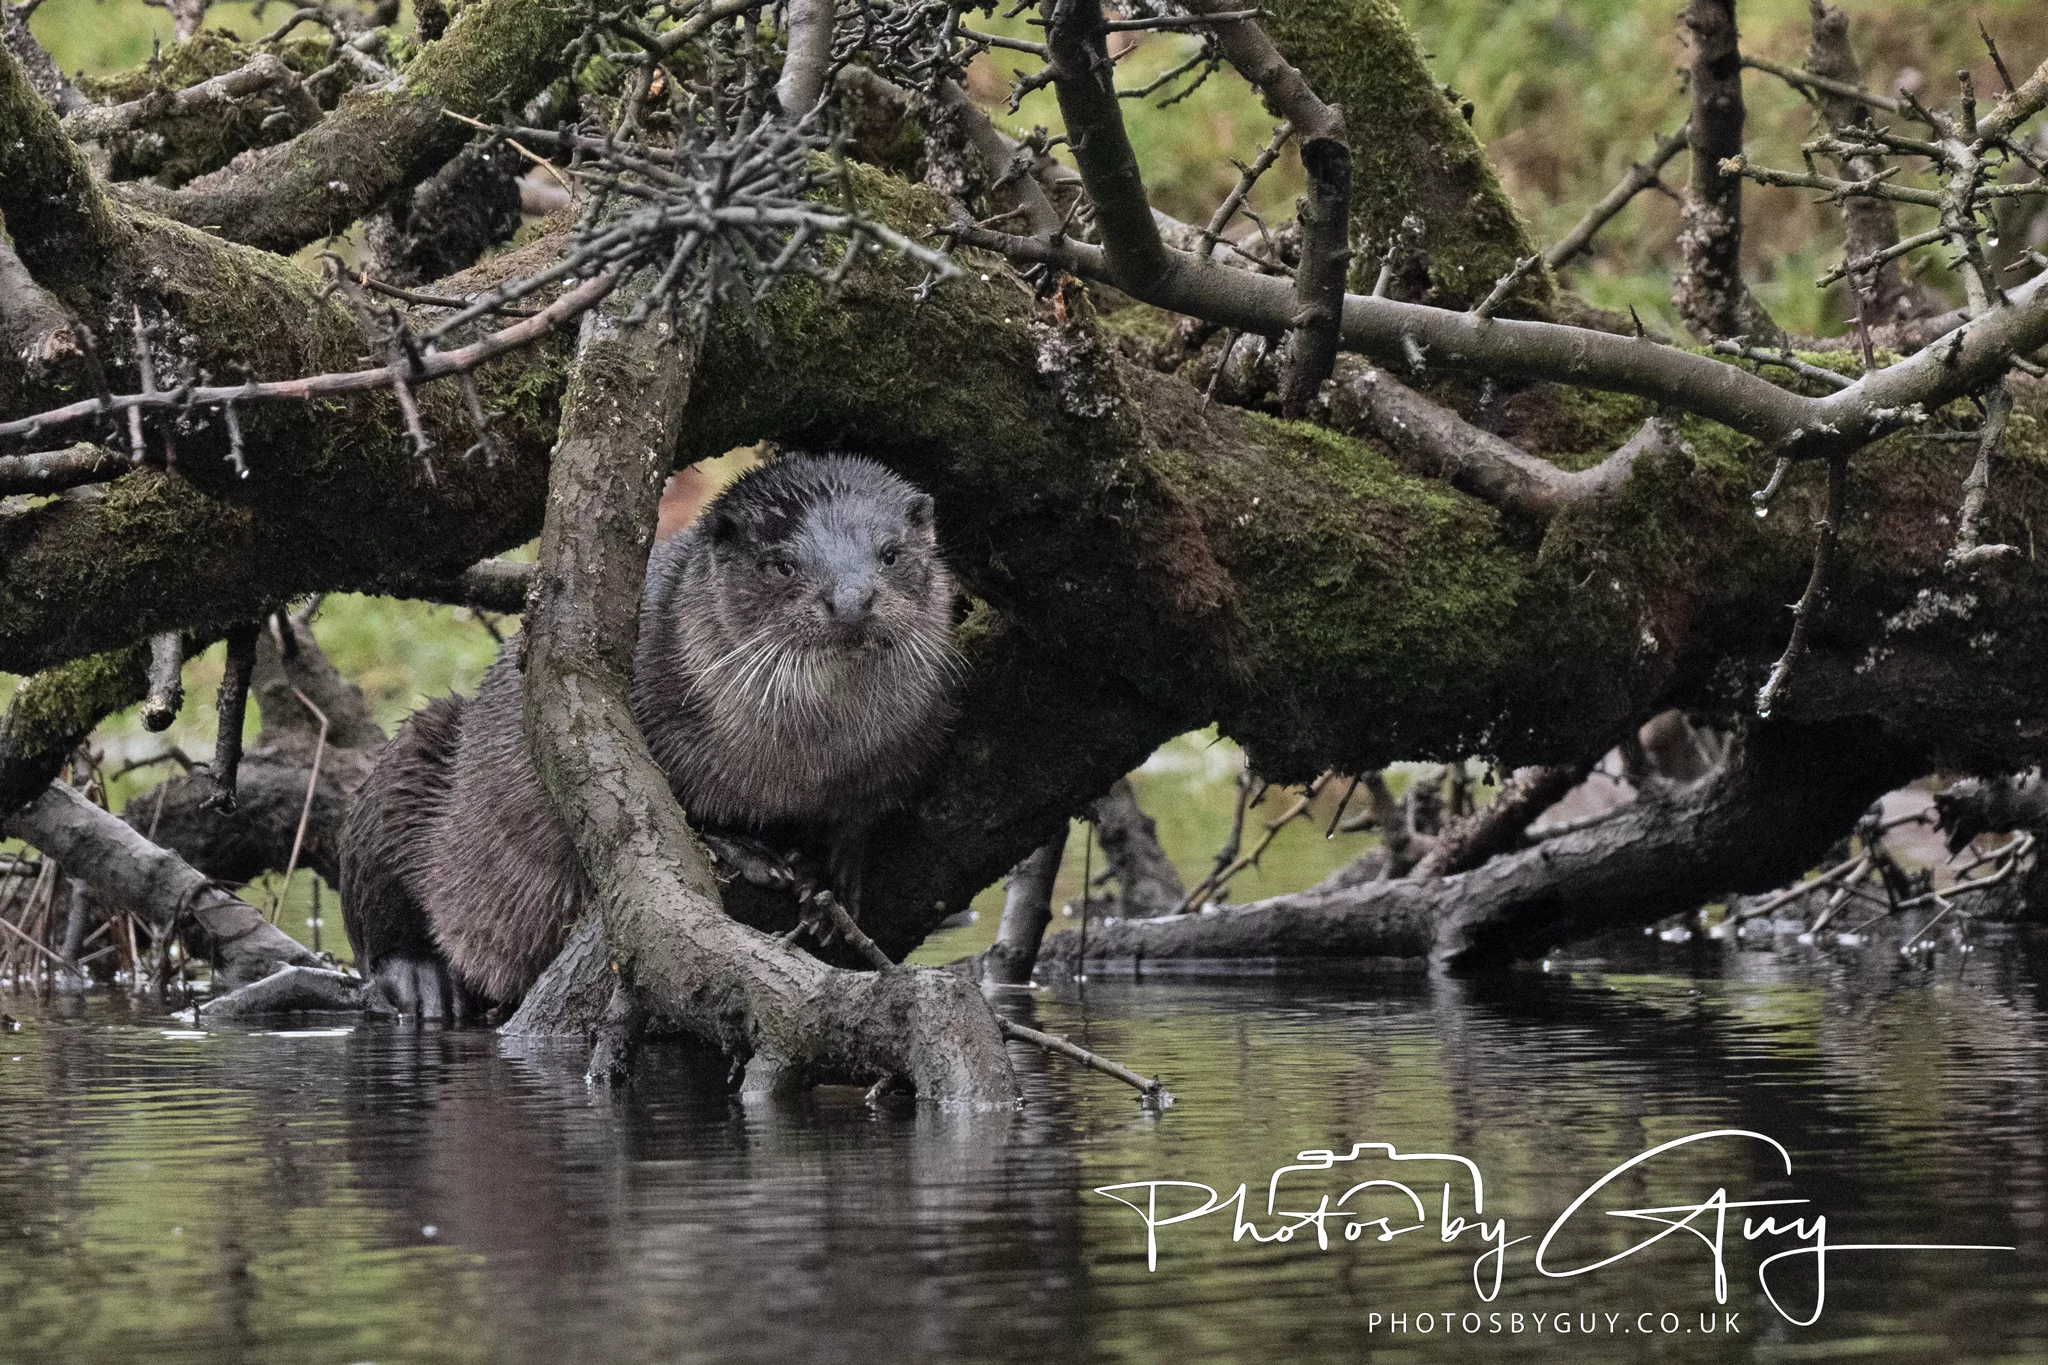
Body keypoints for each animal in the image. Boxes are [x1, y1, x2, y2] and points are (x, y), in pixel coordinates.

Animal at [339, 453, 960, 1017]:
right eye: (782, 565)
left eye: (890, 553)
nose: (852, 599)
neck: (806, 767)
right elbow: (673, 805)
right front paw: (749, 851)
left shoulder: (912, 741)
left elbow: (865, 809)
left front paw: (835, 865)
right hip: (416, 755)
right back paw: (422, 979)